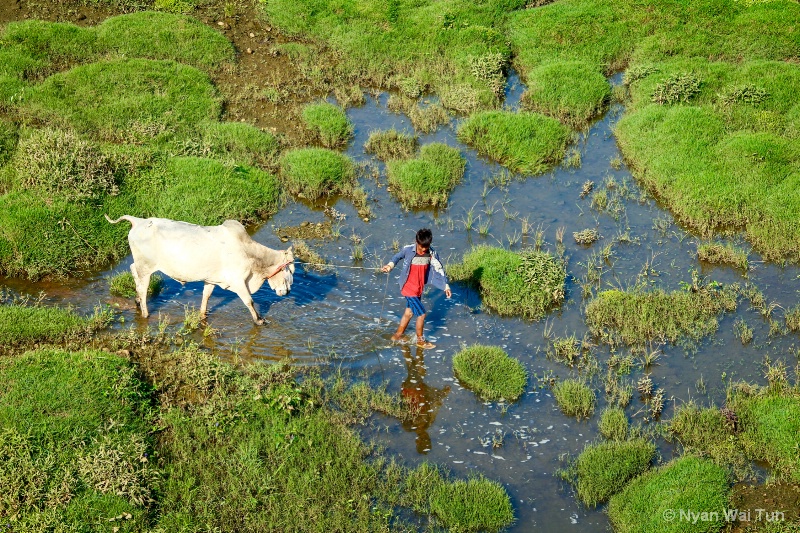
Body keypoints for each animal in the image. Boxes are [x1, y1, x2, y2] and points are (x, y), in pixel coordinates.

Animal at [104, 215, 296, 324]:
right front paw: (259, 320)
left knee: (133, 272)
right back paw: (144, 312)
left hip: (141, 264)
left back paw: (136, 301)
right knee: (143, 289)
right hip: (146, 267)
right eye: (290, 270)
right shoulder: (238, 281)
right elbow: (249, 301)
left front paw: (203, 315)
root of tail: (139, 221)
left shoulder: (211, 279)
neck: (249, 253)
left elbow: (206, 296)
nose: (287, 291)